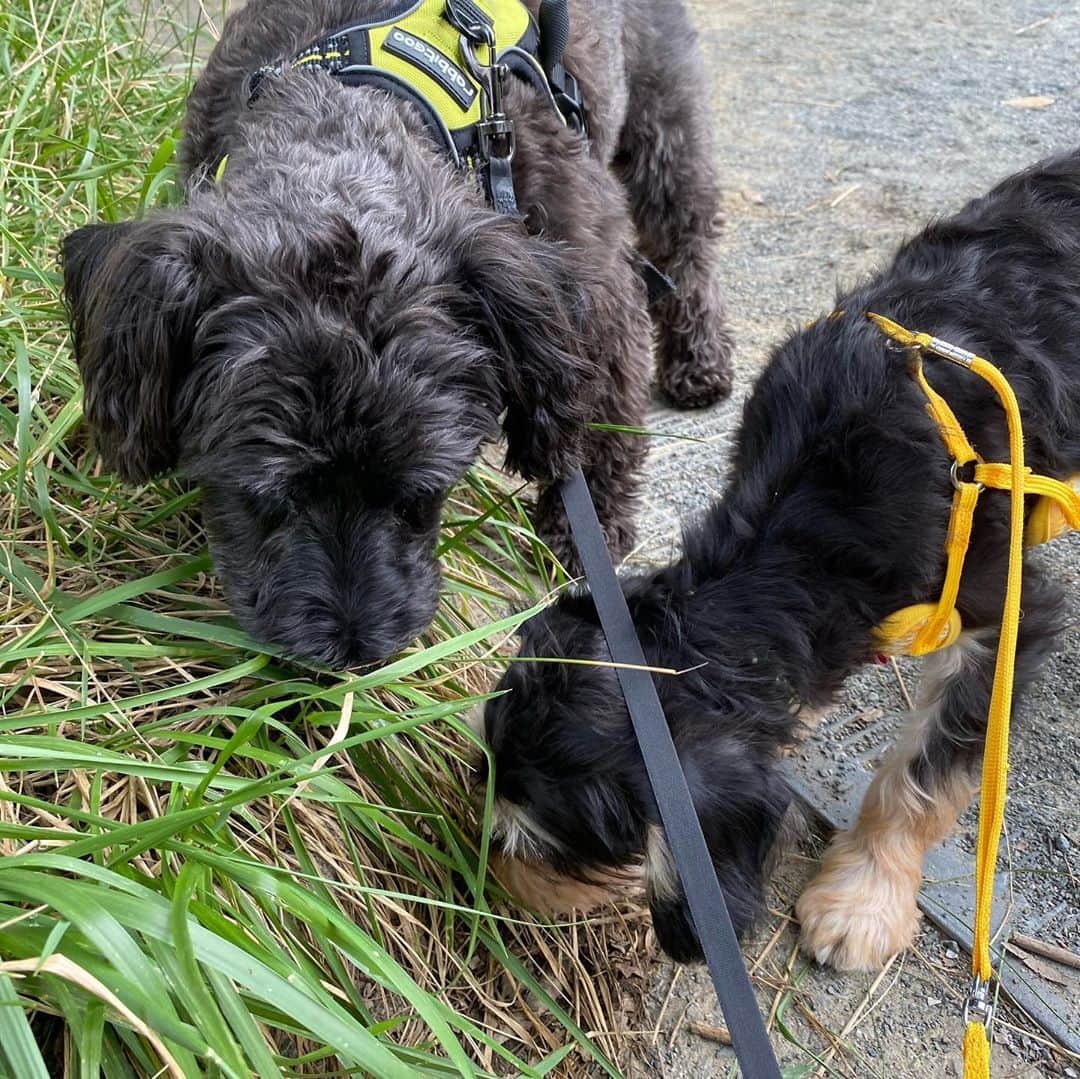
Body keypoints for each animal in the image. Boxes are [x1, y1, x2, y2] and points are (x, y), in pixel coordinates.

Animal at [61, 0, 734, 665]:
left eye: (419, 495)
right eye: (267, 497)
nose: (354, 658)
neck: (344, 109)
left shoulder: (596, 281)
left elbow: (602, 420)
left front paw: (578, 531)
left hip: (663, 121)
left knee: (688, 241)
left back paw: (700, 363)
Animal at [486, 147, 1080, 967]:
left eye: (551, 844)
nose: (494, 880)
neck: (810, 511)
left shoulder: (1006, 614)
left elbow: (922, 779)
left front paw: (863, 898)